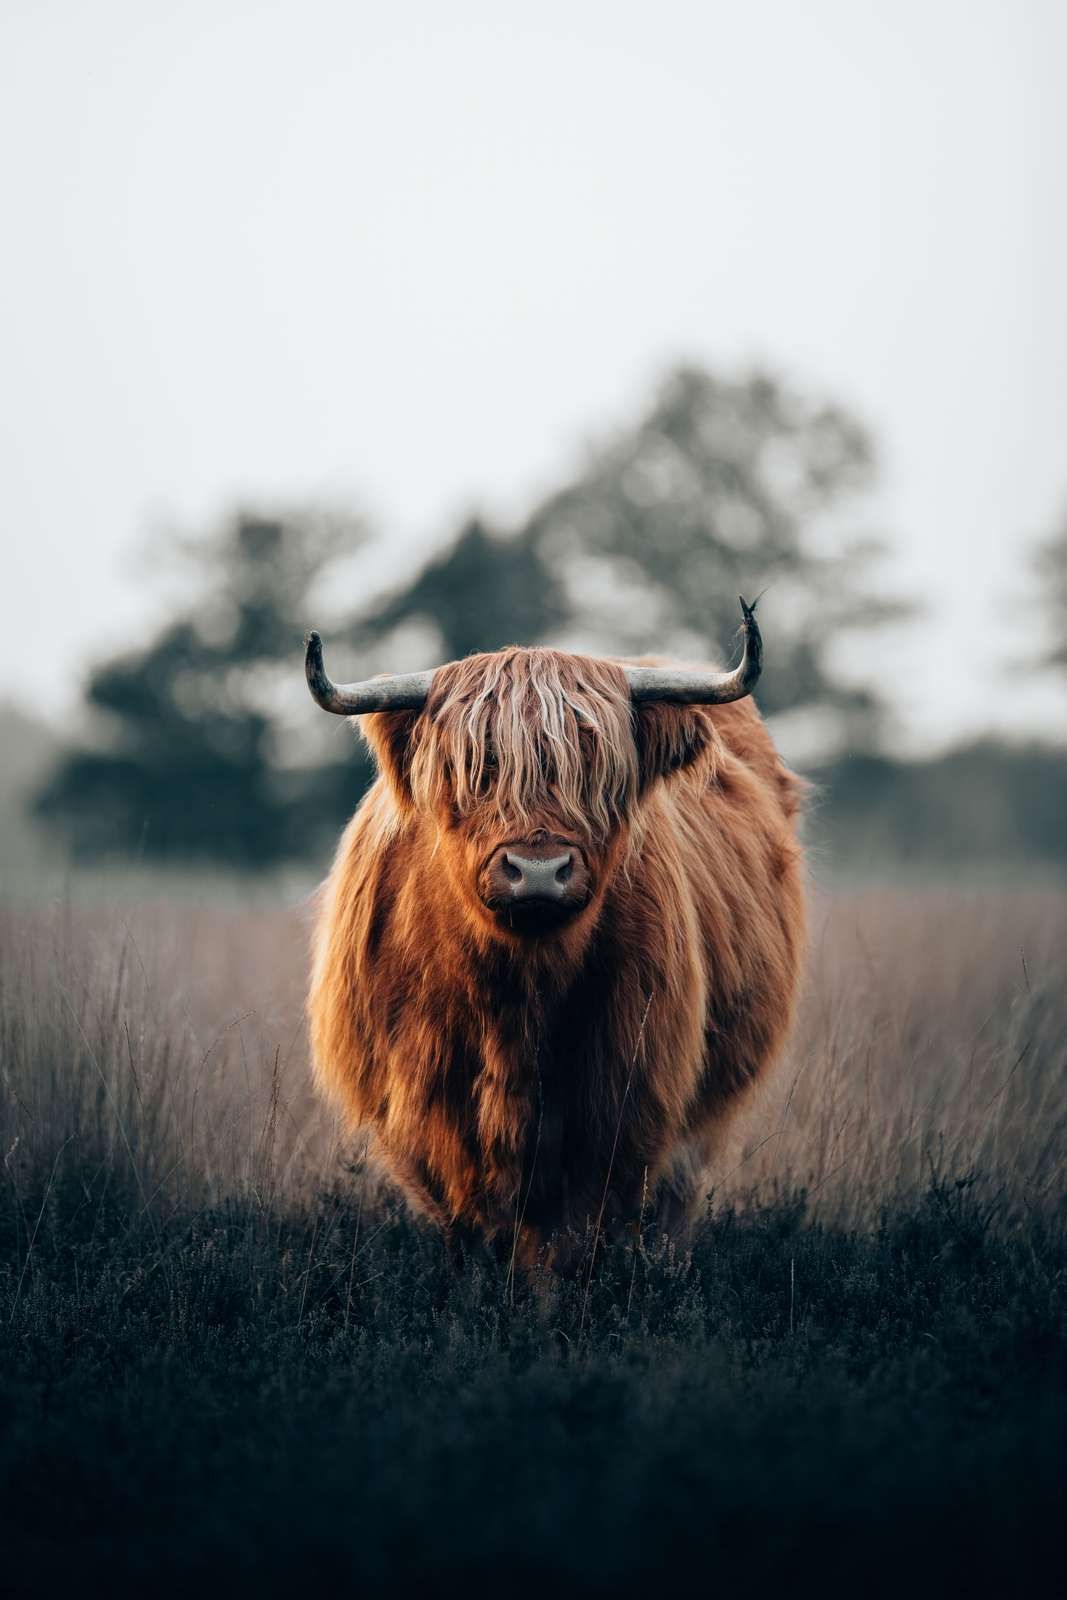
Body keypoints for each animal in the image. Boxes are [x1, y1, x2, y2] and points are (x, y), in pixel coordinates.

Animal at [304, 600, 805, 1267]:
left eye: (594, 770)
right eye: (479, 765)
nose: (538, 870)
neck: (518, 995)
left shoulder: (620, 1096)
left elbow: (574, 1230)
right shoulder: (424, 1106)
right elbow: (472, 1223)